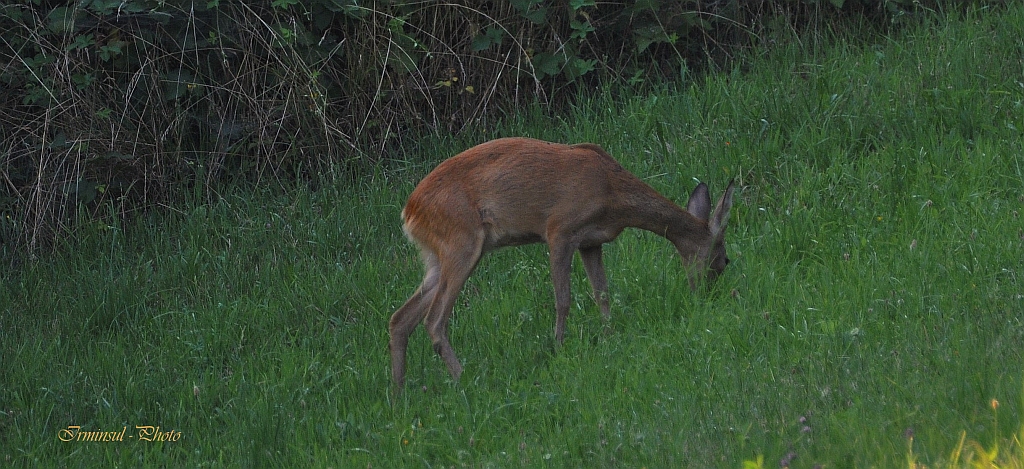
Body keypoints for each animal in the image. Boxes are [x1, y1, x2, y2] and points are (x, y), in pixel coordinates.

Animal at [389, 137, 737, 387]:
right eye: (722, 259)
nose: (708, 298)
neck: (612, 193)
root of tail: (410, 211)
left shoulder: (591, 241)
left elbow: (602, 293)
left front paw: (610, 336)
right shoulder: (559, 229)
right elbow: (563, 300)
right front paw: (558, 348)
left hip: (438, 255)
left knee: (400, 318)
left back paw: (398, 394)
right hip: (462, 243)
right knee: (433, 320)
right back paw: (465, 379)